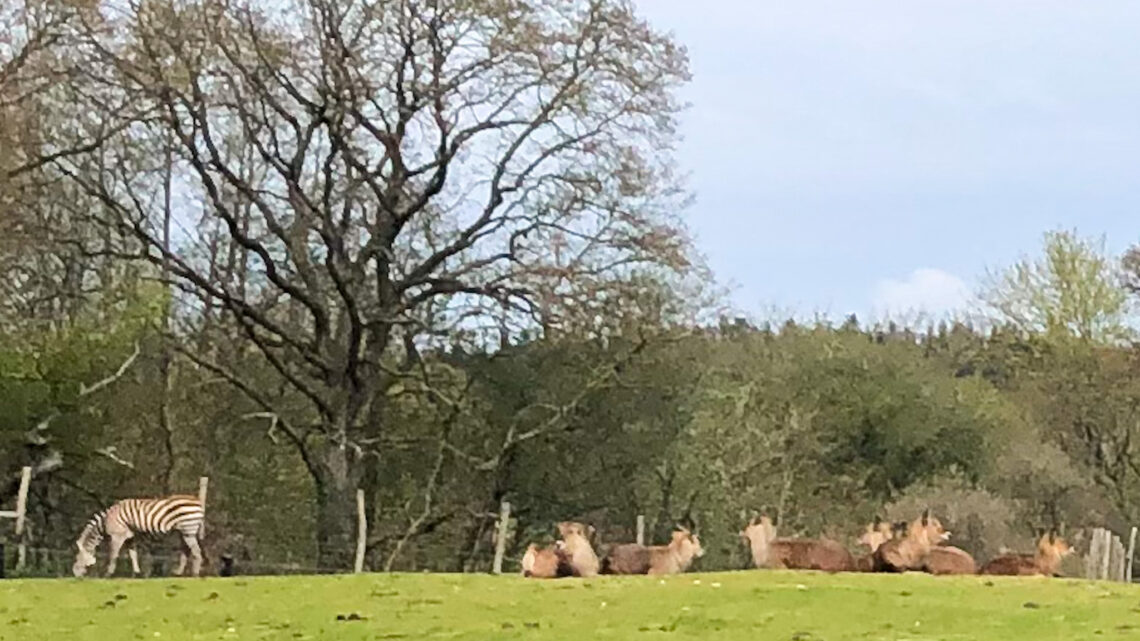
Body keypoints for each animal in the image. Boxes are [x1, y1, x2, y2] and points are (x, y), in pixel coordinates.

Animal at [72, 490, 205, 577]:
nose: (75, 574)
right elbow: (133, 555)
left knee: (197, 551)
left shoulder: (117, 536)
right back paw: (178, 573)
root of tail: (198, 501)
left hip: (188, 530)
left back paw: (195, 574)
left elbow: (113, 555)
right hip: (184, 532)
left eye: (78, 557)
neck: (104, 523)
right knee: (187, 550)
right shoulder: (130, 537)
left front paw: (107, 574)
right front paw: (137, 573)